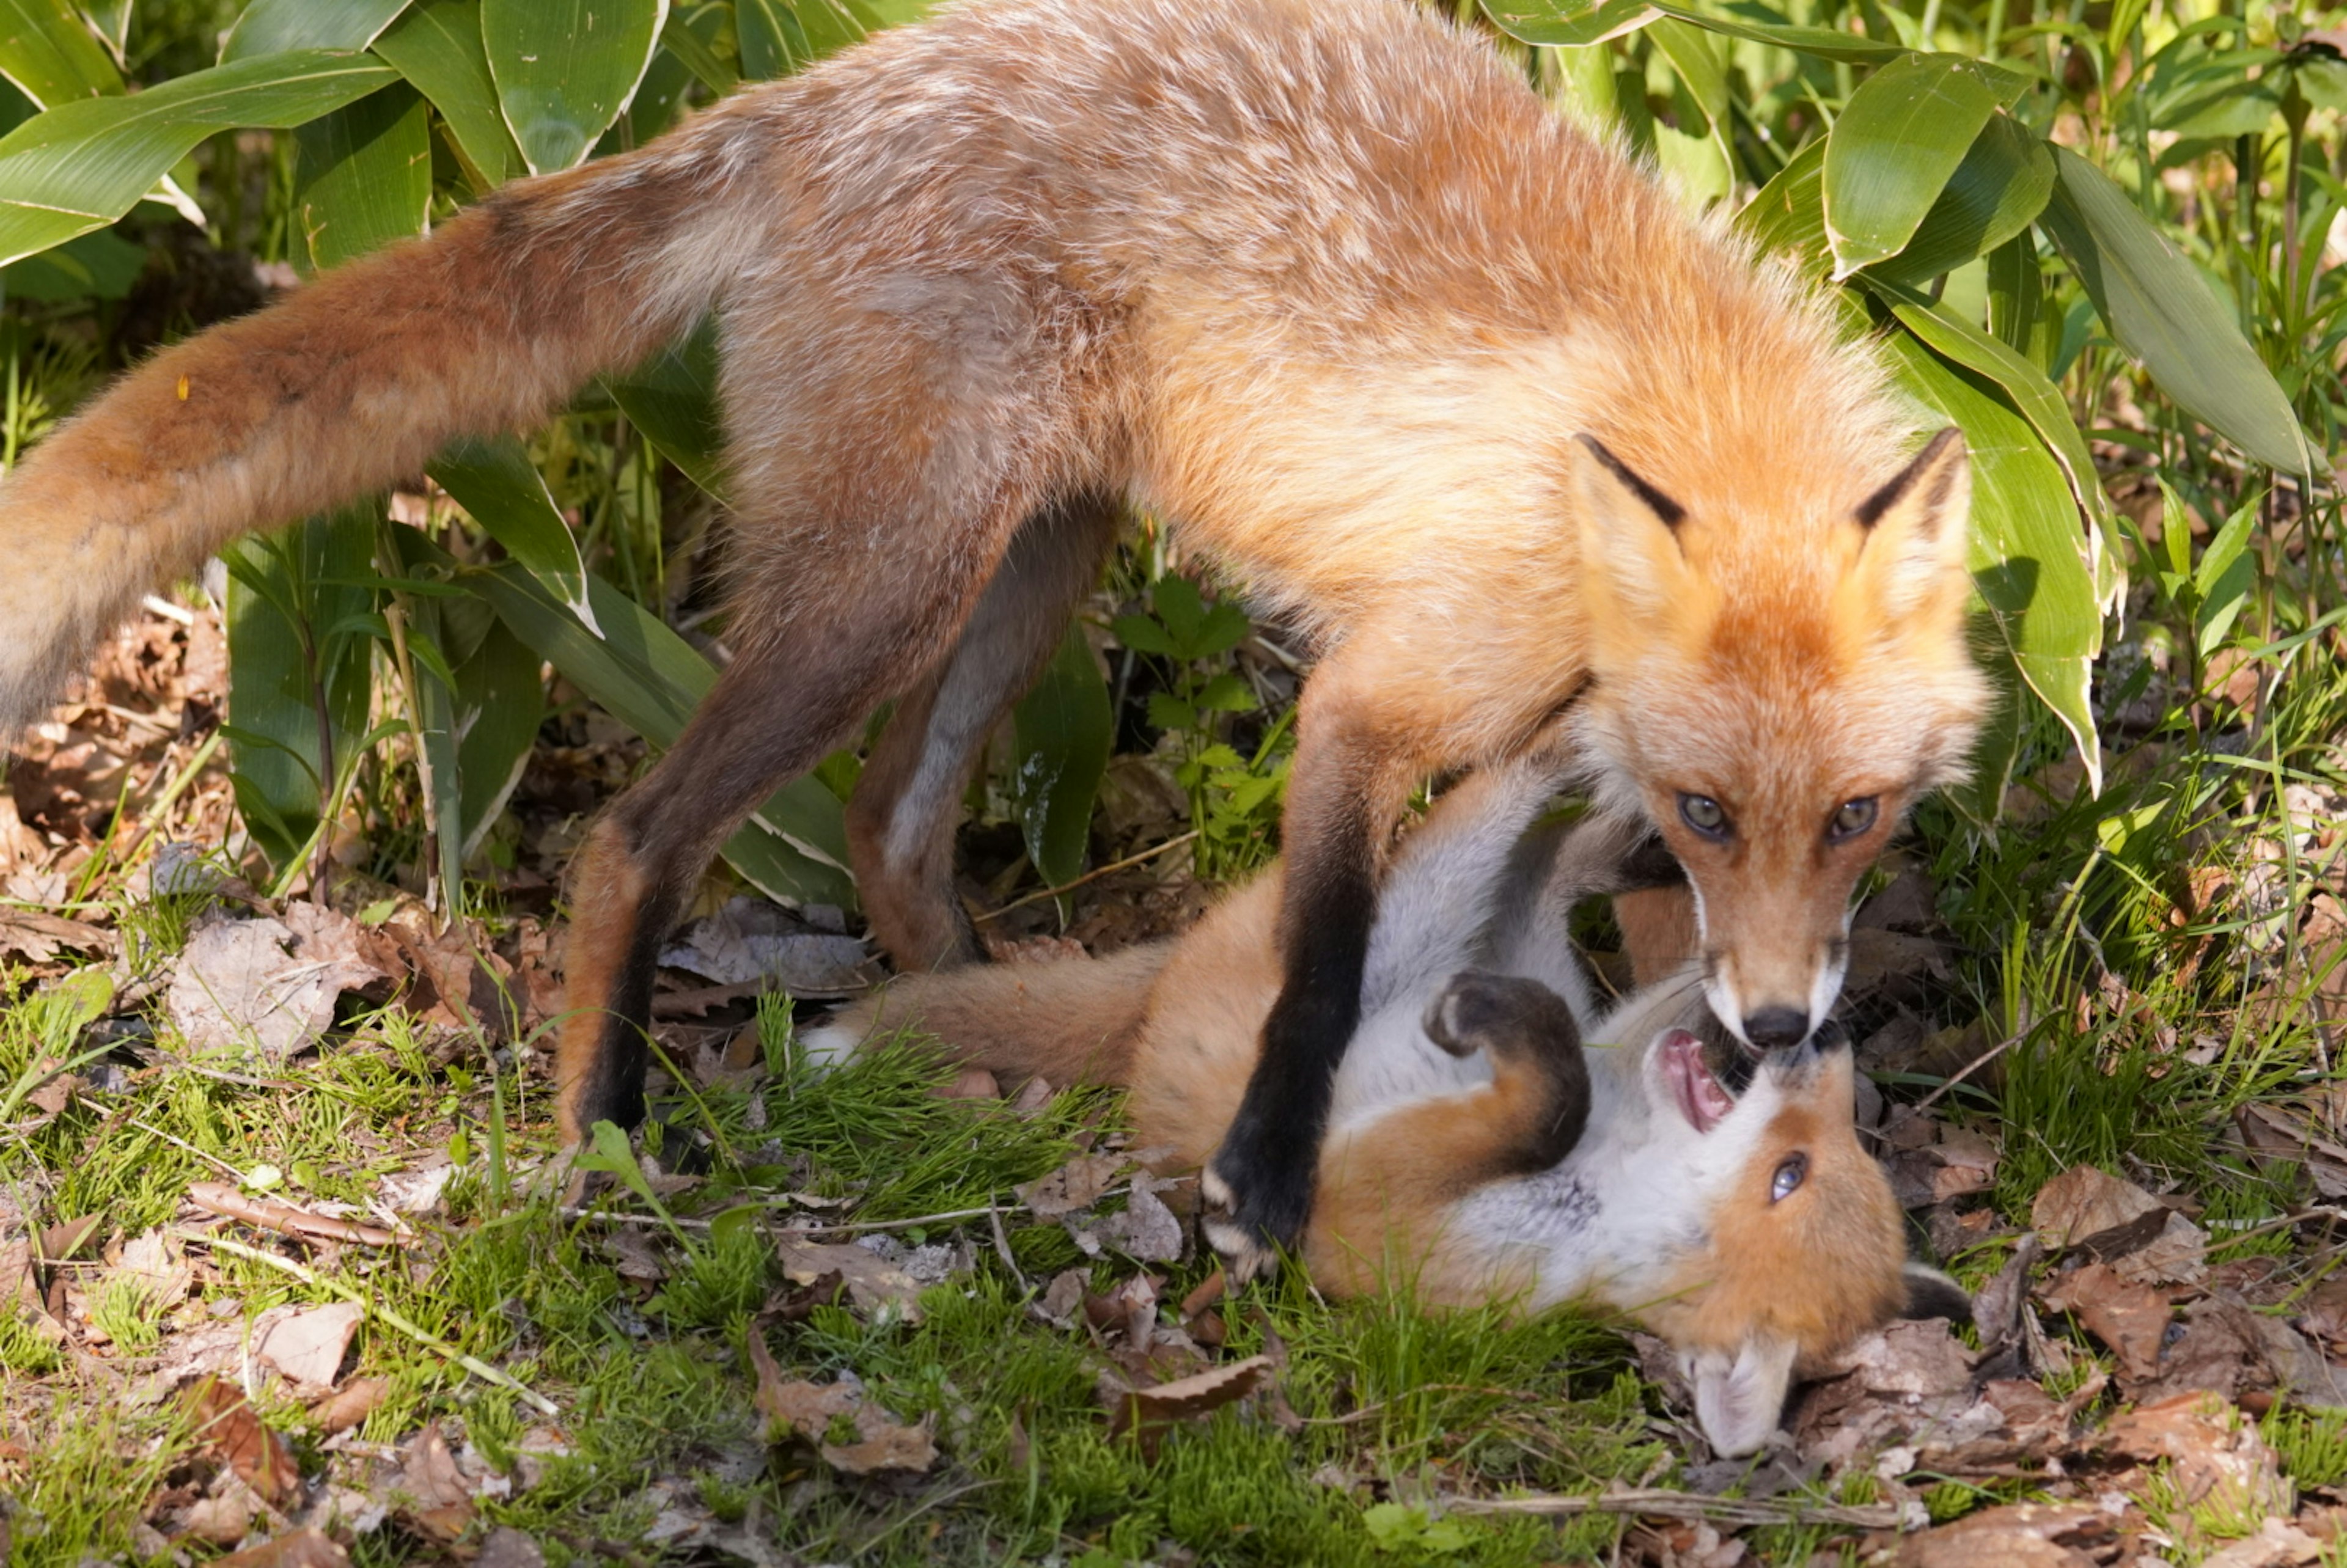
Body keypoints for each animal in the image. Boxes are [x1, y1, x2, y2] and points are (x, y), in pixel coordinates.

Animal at [0, 0, 1990, 1258]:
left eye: (1856, 816)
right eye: (1711, 807)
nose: (1785, 1025)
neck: (1673, 428)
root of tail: (830, 85)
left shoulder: (1579, 779)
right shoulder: (1392, 682)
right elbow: (1327, 953)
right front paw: (1266, 1171)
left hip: (1042, 554)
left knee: (891, 828)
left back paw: (970, 1052)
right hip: (888, 579)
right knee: (637, 837)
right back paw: (604, 1139)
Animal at [817, 760, 1971, 1455]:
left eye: (1794, 1173)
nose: (1826, 1046)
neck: (1609, 1189)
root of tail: (1160, 1006)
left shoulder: (1384, 1199)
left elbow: (1547, 1096)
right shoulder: (1612, 1041)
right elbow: (1610, 1032)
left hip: (1415, 915)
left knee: (1493, 819)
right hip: (1452, 906)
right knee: (1533, 849)